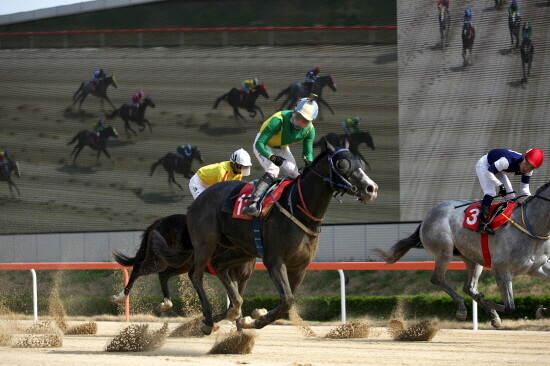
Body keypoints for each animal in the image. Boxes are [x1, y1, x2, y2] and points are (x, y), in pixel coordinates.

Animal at [113, 214, 258, 318]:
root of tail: (160, 221)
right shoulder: (230, 275)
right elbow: (233, 304)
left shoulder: (243, 280)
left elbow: (235, 304)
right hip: (157, 259)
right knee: (138, 269)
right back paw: (120, 297)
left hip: (182, 264)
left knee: (163, 275)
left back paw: (165, 303)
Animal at [160, 142, 378, 334]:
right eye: (342, 164)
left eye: (359, 162)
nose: (371, 188)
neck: (298, 208)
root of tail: (197, 201)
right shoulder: (274, 260)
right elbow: (287, 299)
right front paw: (253, 320)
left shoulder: (299, 267)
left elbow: (287, 302)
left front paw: (252, 318)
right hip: (206, 242)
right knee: (195, 274)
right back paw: (206, 319)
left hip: (241, 250)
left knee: (220, 266)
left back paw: (232, 310)